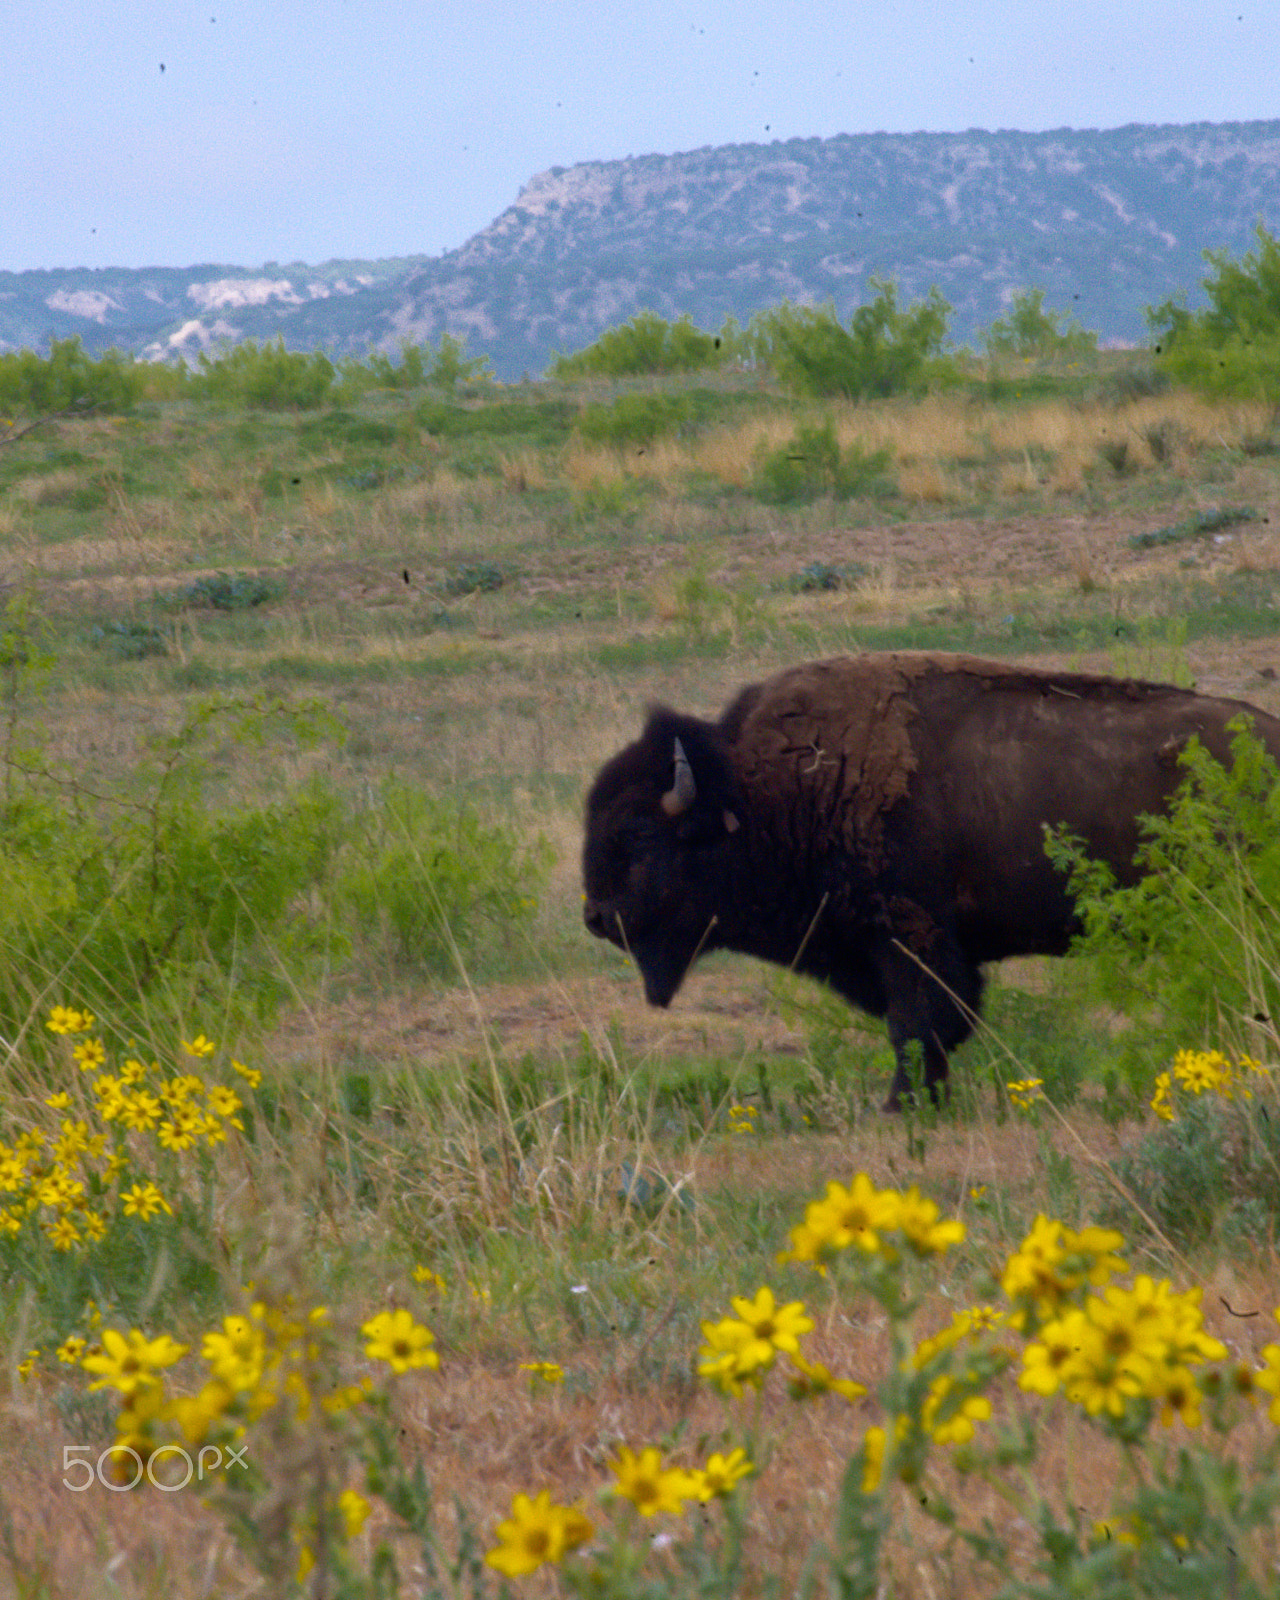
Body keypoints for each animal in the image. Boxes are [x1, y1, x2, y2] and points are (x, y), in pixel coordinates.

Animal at [582, 656, 1280, 1107]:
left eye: (637, 834)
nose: (595, 915)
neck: (765, 791)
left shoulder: (909, 937)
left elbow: (919, 1025)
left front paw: (901, 1104)